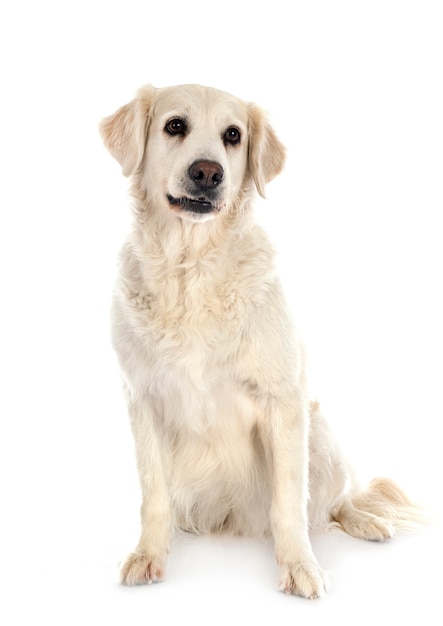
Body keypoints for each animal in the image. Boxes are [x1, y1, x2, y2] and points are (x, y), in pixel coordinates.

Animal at [99, 83, 422, 596]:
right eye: (174, 125)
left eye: (233, 135)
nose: (208, 172)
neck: (191, 270)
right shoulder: (142, 400)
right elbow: (153, 495)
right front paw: (149, 554)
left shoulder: (282, 402)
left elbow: (290, 502)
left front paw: (299, 566)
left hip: (320, 435)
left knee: (337, 500)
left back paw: (367, 522)